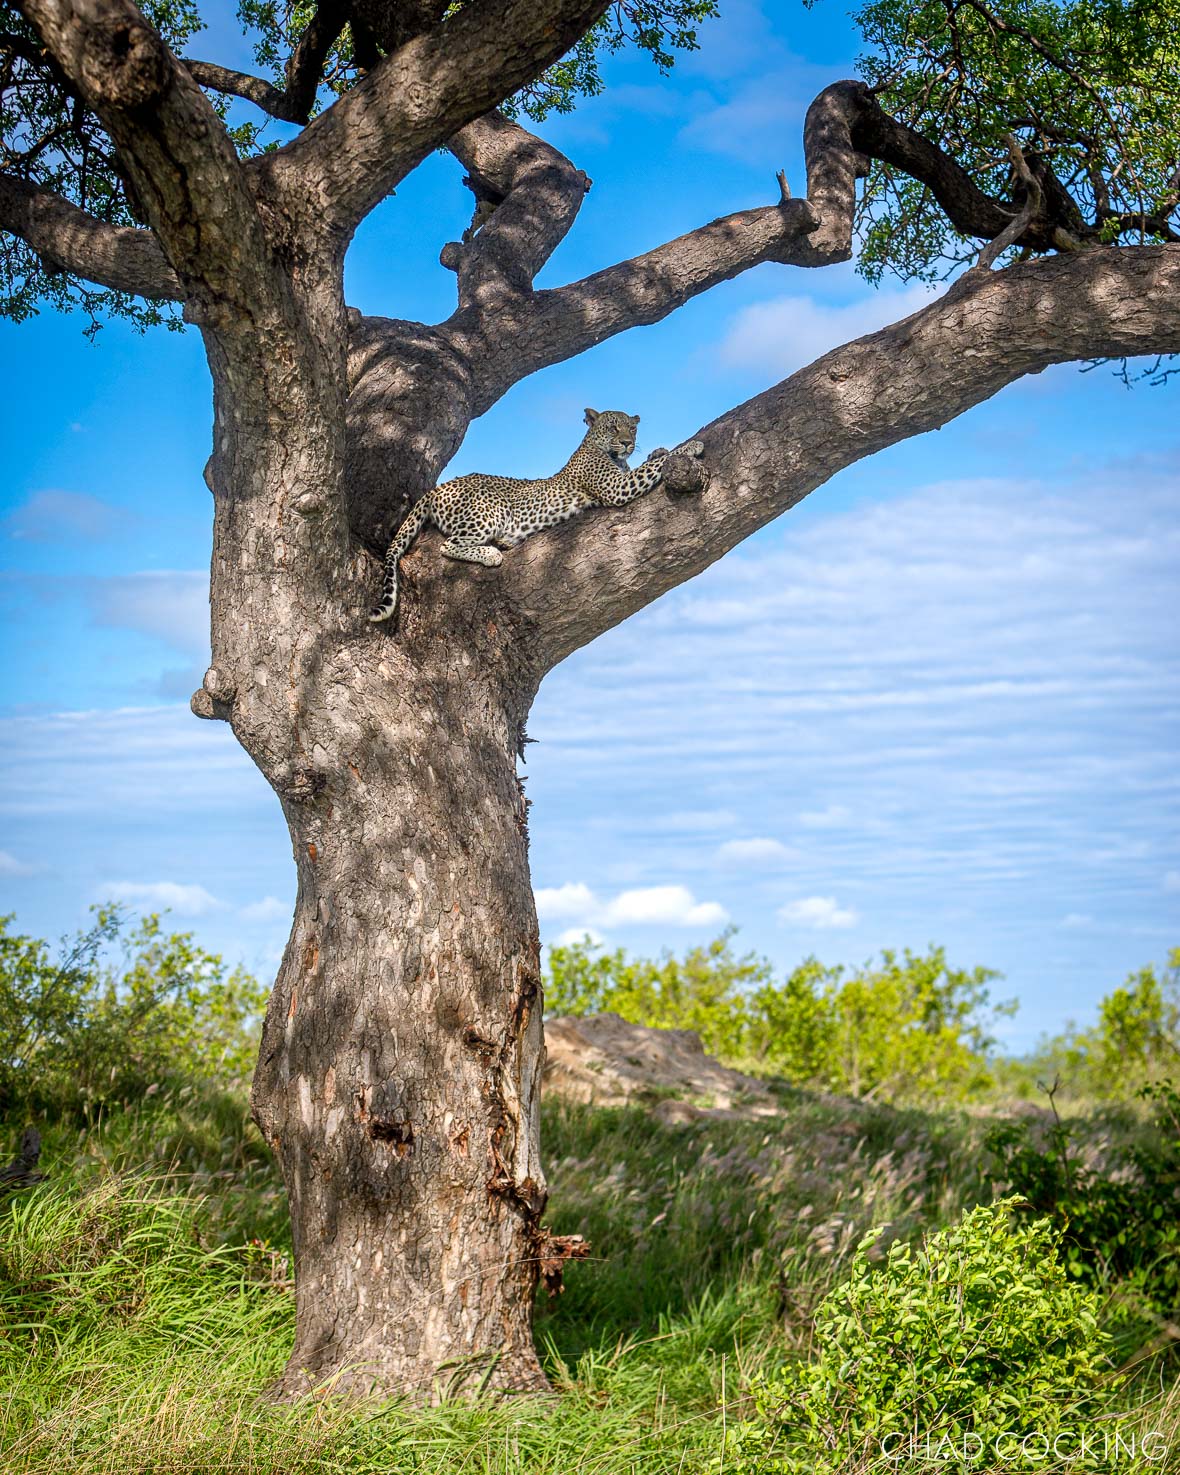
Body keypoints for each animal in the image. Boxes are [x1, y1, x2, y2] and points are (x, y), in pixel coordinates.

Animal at [369, 408, 705, 623]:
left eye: (632, 428)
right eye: (613, 427)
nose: (627, 443)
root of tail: (437, 489)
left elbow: (652, 460)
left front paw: (658, 450)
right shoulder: (617, 487)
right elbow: (654, 467)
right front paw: (691, 445)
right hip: (491, 511)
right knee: (448, 544)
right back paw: (493, 552)